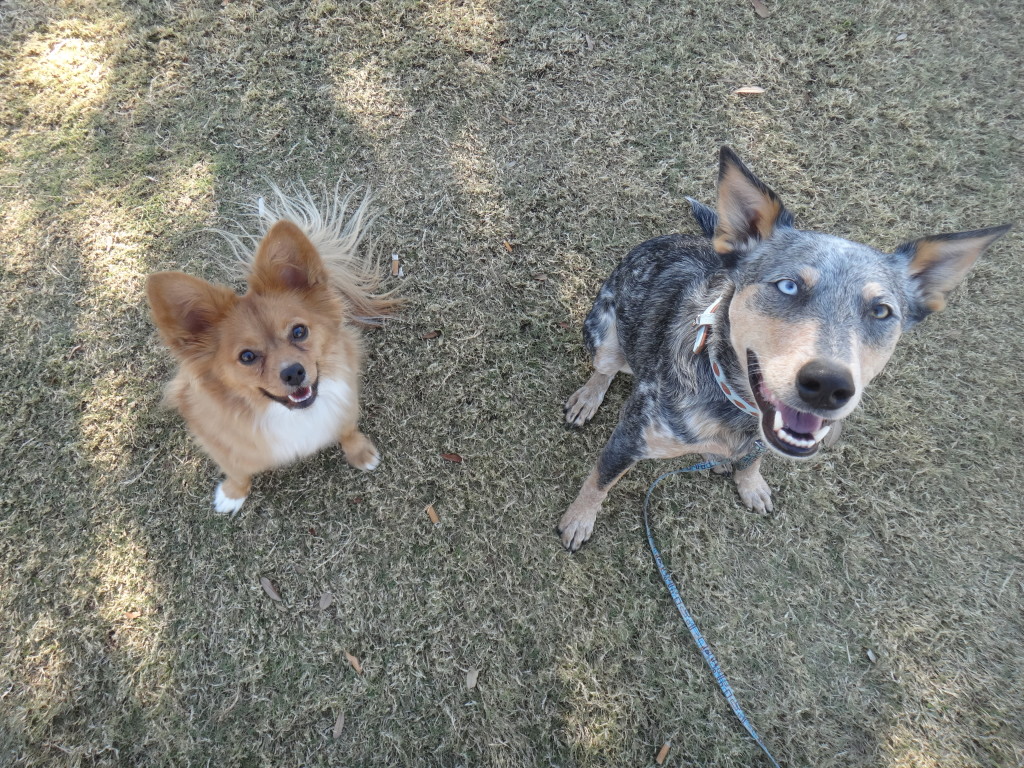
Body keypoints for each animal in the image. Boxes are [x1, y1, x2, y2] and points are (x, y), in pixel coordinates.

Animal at [148, 186, 395, 514]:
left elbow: (347, 429)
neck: (292, 416)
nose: (294, 373)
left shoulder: (346, 401)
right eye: (247, 357)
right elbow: (237, 470)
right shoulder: (222, 443)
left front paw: (360, 452)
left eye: (299, 331)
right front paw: (233, 494)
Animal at [557, 145, 1003, 552]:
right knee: (606, 367)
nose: (828, 385)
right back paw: (588, 398)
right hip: (605, 334)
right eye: (788, 286)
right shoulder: (631, 437)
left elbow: (754, 458)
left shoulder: (761, 437)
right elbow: (599, 480)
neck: (732, 403)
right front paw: (578, 520)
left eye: (881, 311)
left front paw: (750, 483)